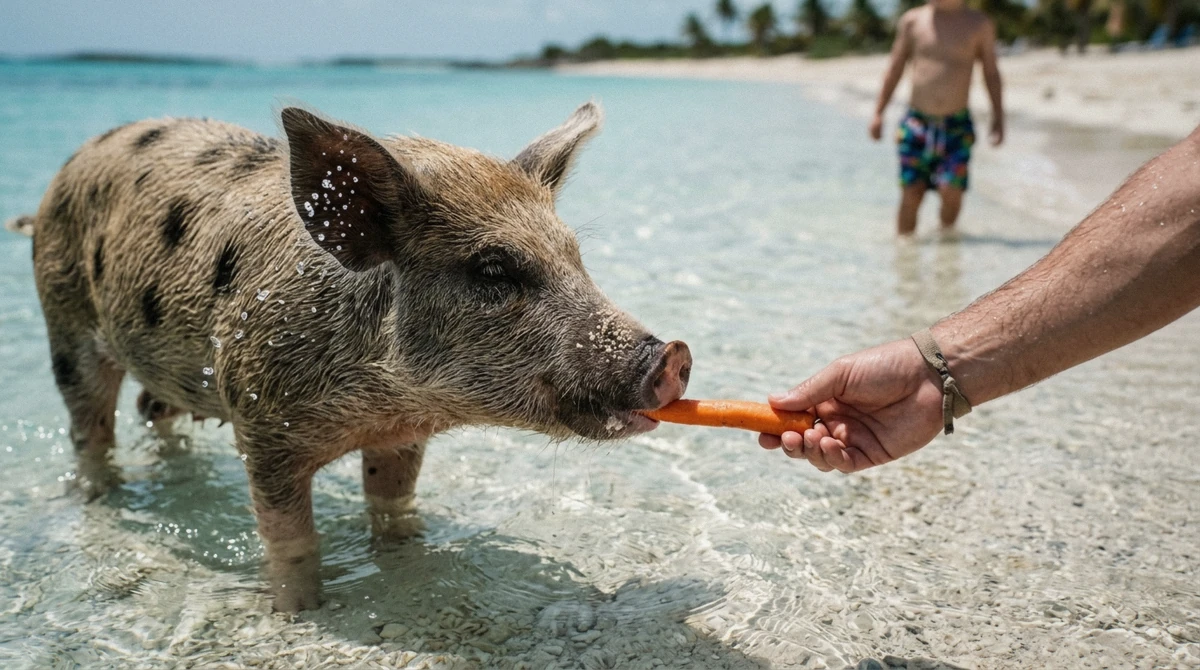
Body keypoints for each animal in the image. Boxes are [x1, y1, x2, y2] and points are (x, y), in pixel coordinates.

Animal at [11, 103, 691, 611]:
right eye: (493, 269)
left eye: (575, 257)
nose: (672, 356)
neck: (376, 402)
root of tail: (62, 177)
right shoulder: (259, 423)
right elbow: (291, 542)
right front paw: (300, 611)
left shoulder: (402, 435)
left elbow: (392, 505)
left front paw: (406, 561)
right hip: (63, 321)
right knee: (88, 429)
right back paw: (102, 499)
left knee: (154, 408)